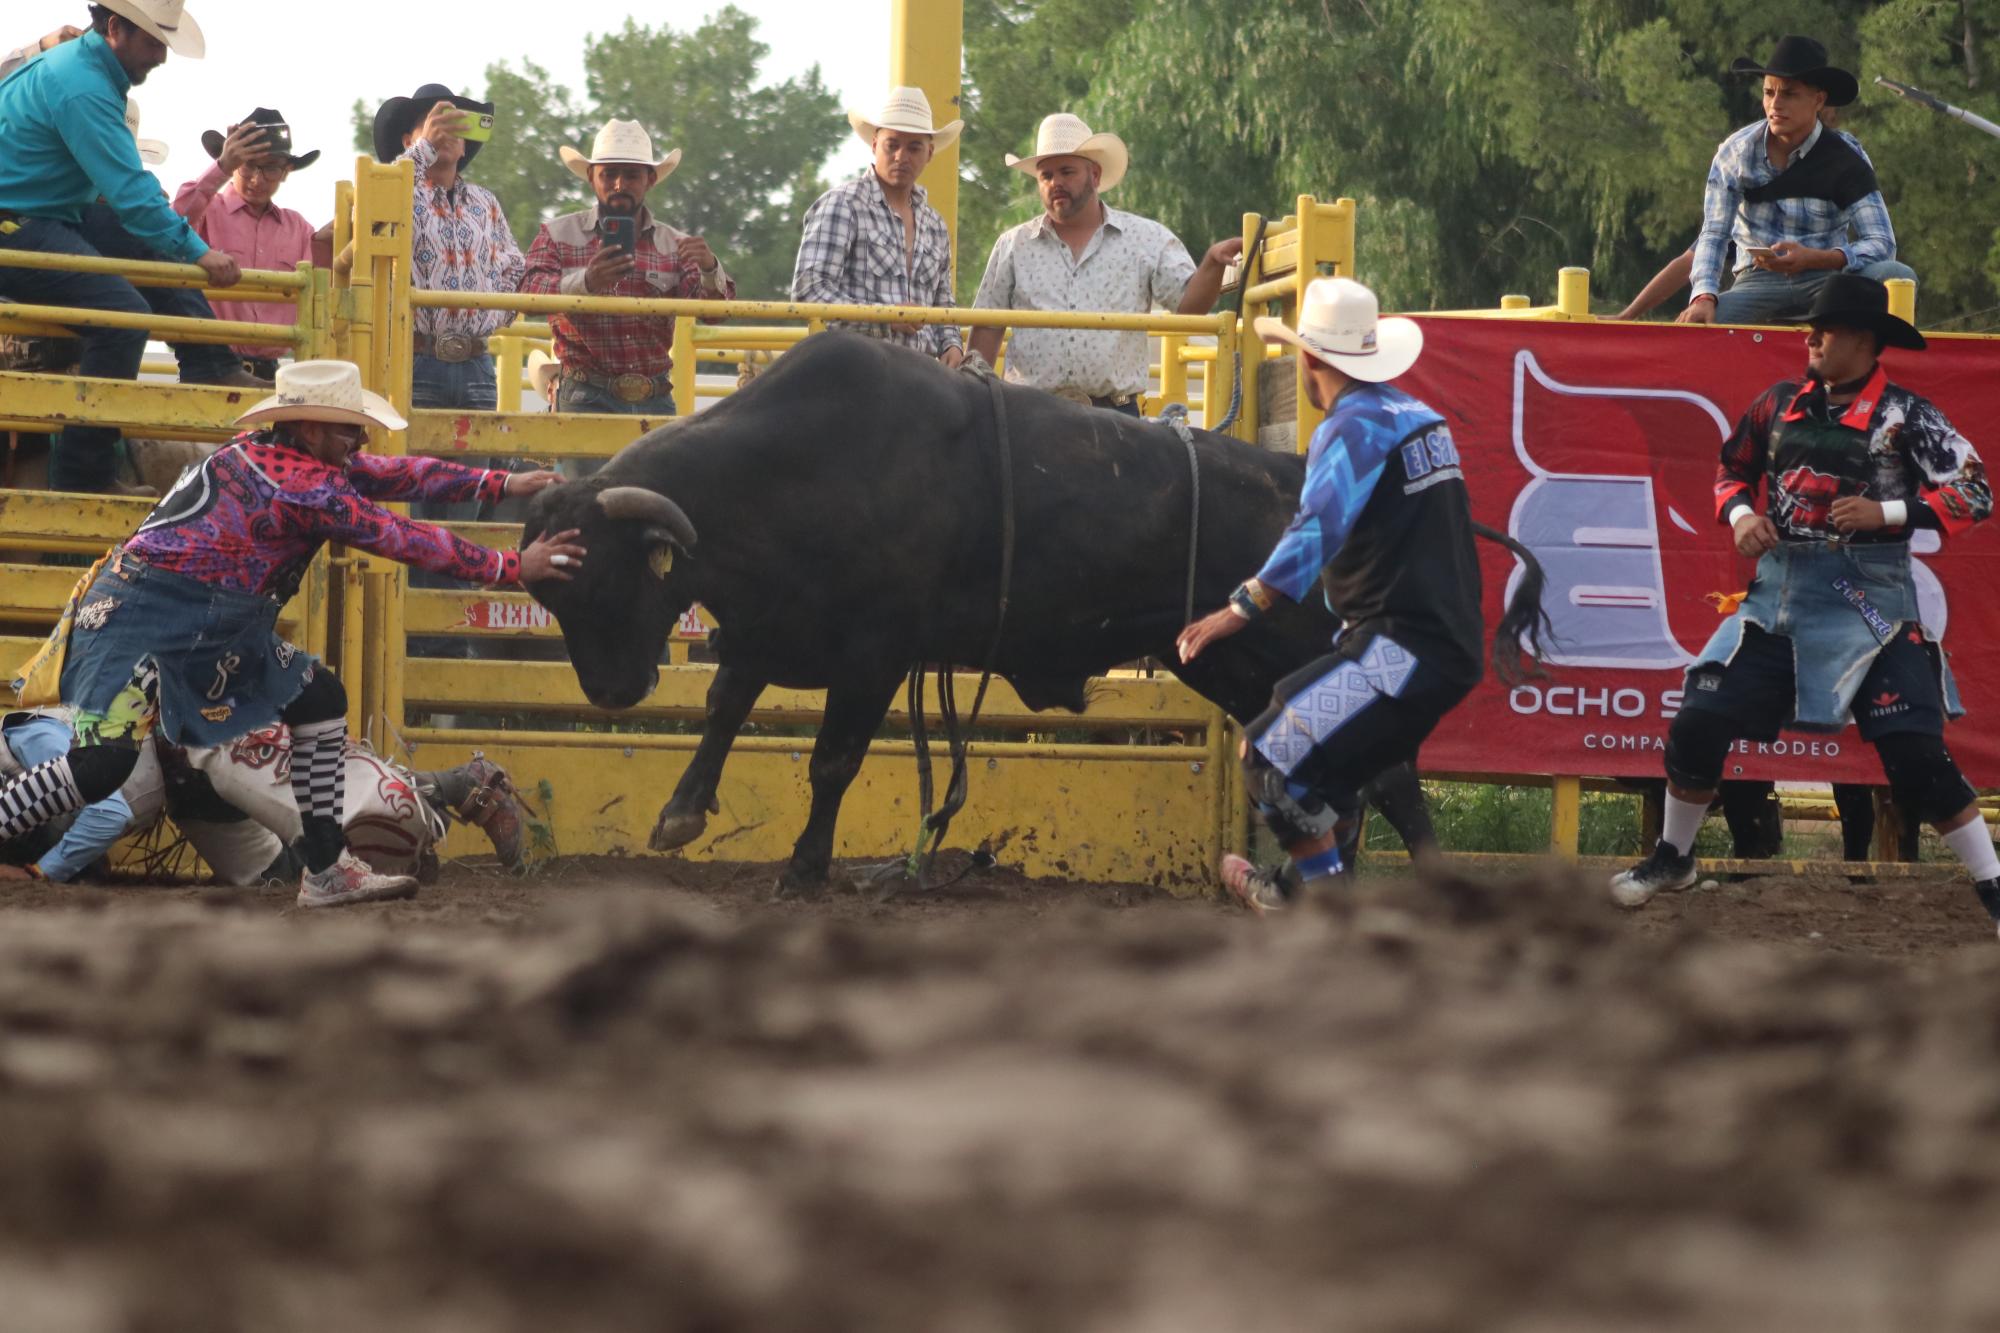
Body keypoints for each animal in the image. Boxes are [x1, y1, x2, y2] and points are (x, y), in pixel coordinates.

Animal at [520, 332, 1544, 892]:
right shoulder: (768, 627)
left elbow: (831, 761)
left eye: (606, 580)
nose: (609, 692)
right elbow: (725, 707)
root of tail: (1305, 475)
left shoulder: (874, 654)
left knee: (1384, 775)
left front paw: (806, 865)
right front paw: (680, 813)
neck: (791, 472)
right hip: (1230, 662)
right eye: (550, 590)